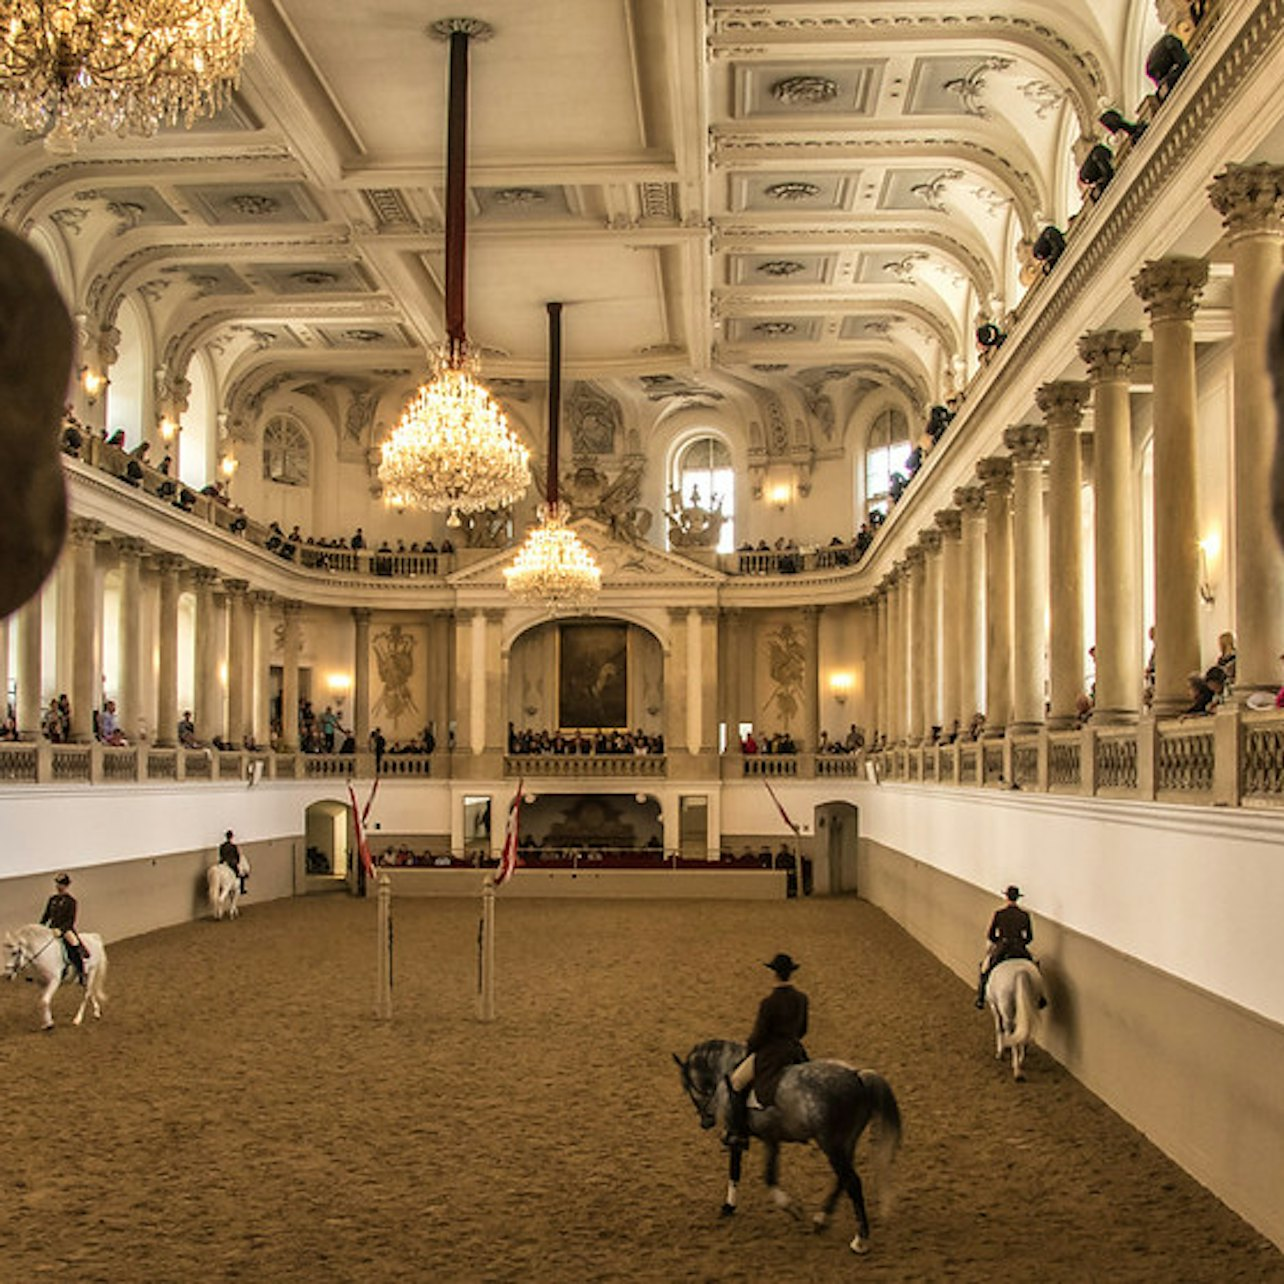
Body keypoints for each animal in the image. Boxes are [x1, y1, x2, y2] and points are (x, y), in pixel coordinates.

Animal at [672, 1042, 903, 1253]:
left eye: (688, 1087)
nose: (705, 1122)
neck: (726, 1068)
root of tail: (858, 1077)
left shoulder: (747, 1135)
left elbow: (752, 1173)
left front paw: (787, 1207)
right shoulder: (769, 1139)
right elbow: (753, 1172)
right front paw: (733, 1206)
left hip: (832, 1143)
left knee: (852, 1182)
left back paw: (859, 1240)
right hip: (845, 1144)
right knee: (843, 1180)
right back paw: (821, 1219)